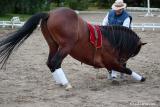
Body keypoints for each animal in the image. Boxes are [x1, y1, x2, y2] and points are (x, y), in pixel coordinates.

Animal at [0, 7, 146, 89]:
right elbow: (126, 69)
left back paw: (60, 82)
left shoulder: (112, 63)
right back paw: (66, 84)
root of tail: (49, 14)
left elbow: (121, 69)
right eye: (133, 52)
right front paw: (141, 78)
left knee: (51, 63)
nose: (123, 60)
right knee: (55, 62)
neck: (110, 39)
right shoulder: (110, 62)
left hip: (54, 45)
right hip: (66, 47)